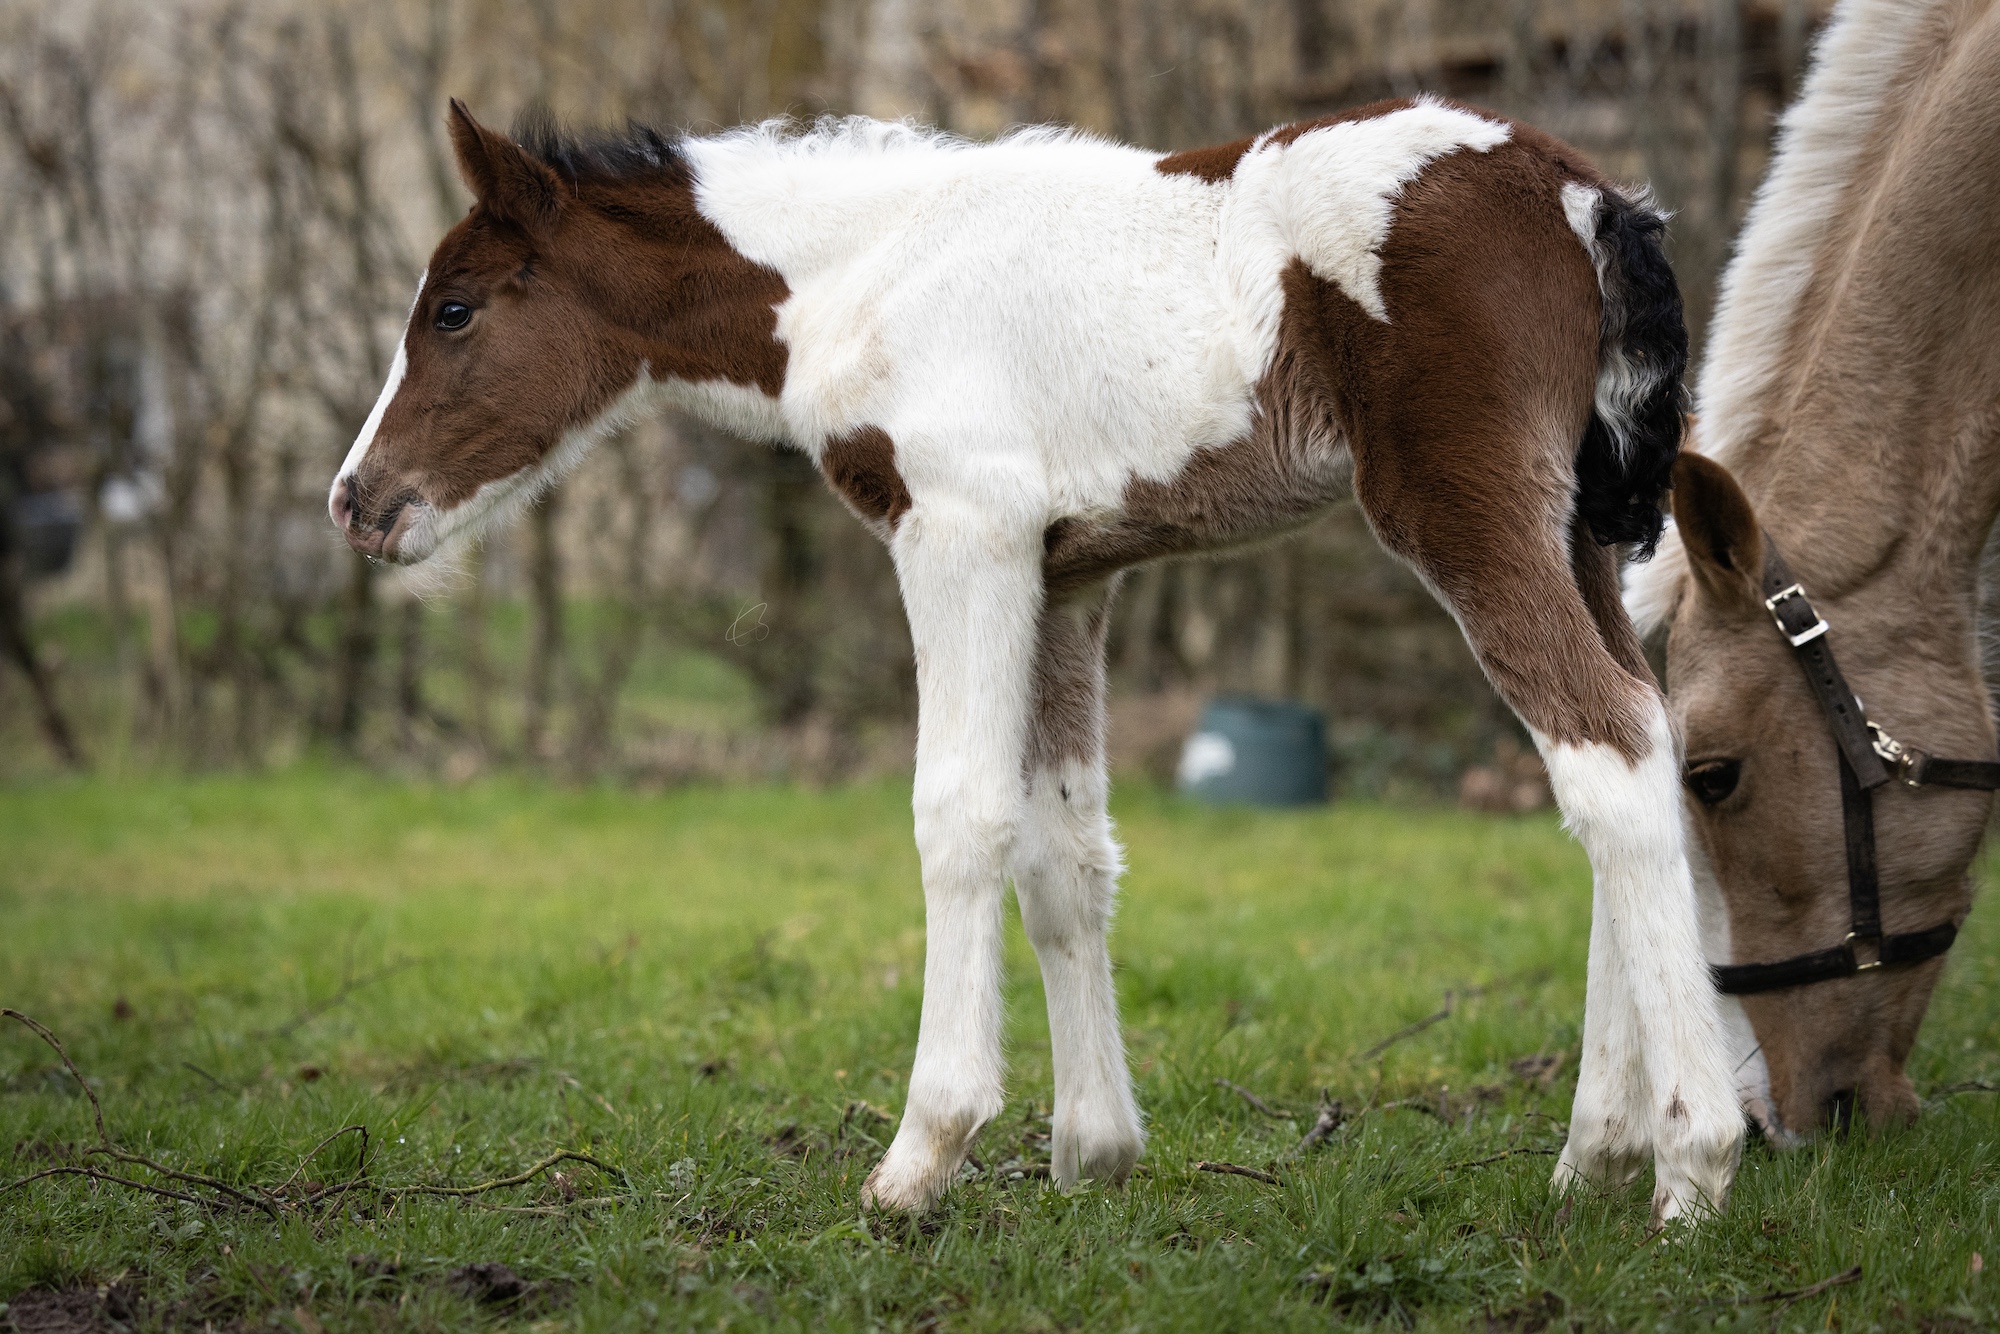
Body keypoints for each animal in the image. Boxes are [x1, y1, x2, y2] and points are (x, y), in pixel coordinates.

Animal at [328, 96, 1736, 1224]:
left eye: (453, 308)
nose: (356, 502)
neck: (866, 275)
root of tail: (1579, 192)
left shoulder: (962, 533)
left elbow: (960, 817)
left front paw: (921, 1153)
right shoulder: (1068, 574)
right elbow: (1066, 849)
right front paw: (1092, 1152)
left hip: (1463, 507)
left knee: (1603, 752)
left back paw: (1692, 1164)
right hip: (1575, 524)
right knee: (1644, 738)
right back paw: (1596, 1152)